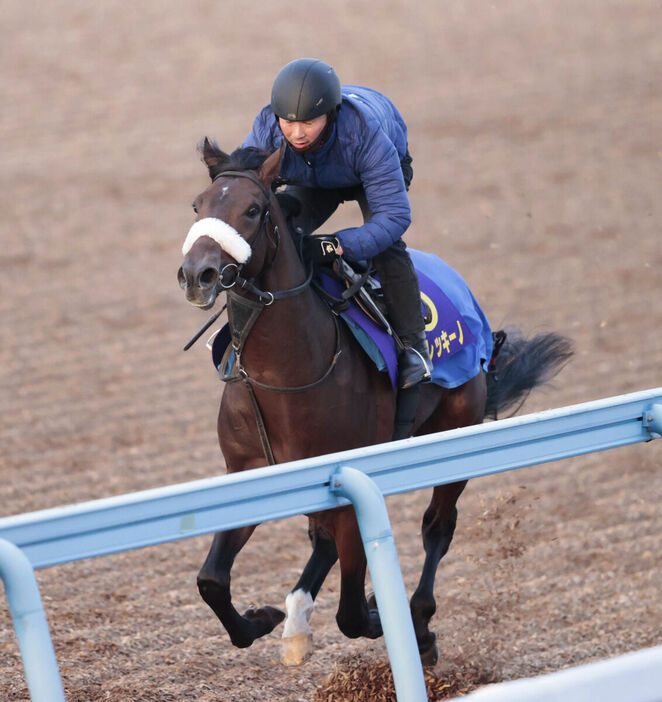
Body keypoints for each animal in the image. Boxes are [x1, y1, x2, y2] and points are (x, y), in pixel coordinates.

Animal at [178, 139, 576, 672]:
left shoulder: (354, 486)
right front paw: (262, 618)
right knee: (323, 541)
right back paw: (297, 620)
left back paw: (419, 623)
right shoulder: (252, 473)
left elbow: (351, 612)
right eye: (198, 205)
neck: (283, 377)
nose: (195, 275)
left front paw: (381, 613)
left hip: (454, 432)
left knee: (437, 529)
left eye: (254, 209)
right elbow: (212, 580)